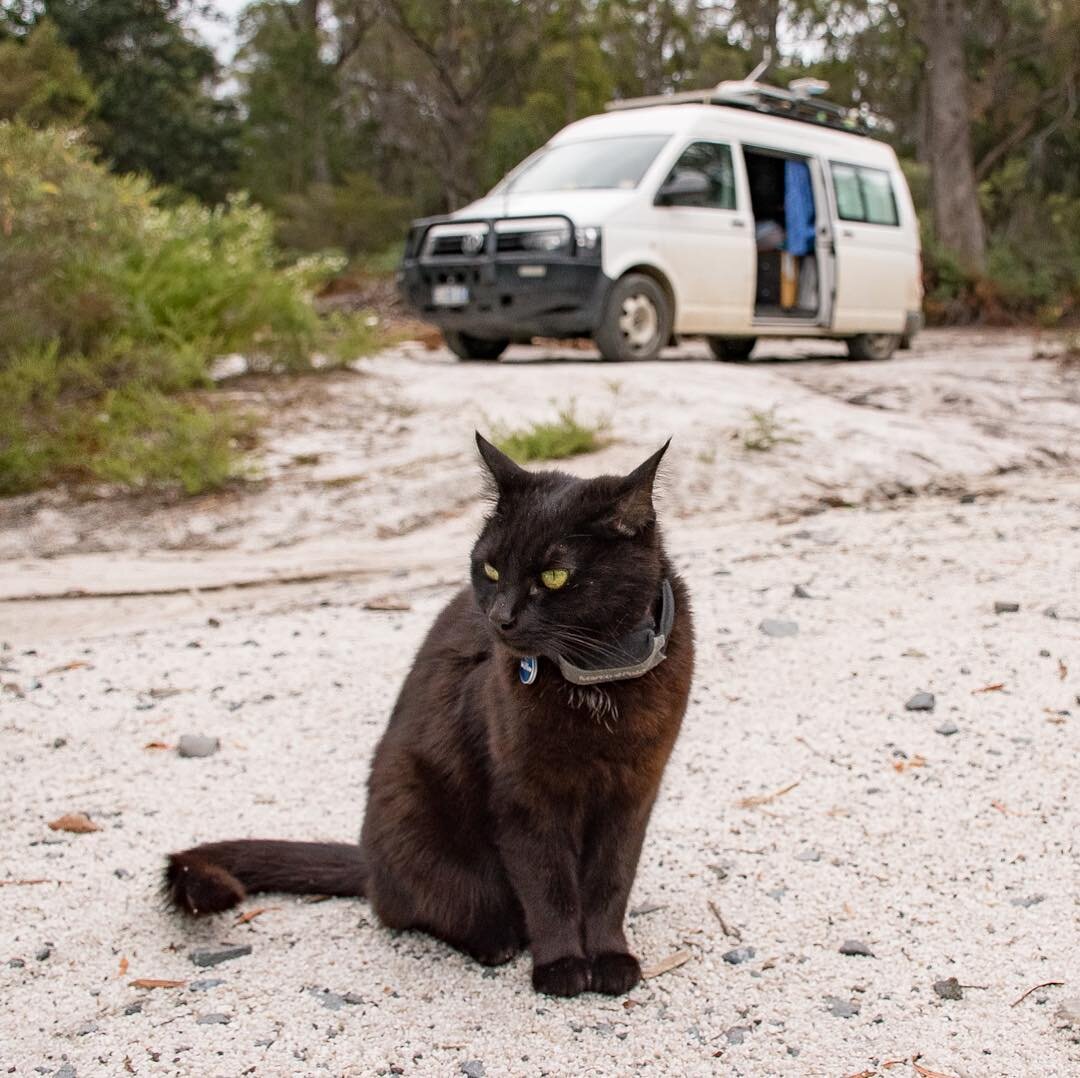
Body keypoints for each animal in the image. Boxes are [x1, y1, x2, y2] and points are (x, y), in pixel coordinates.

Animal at [167, 434, 691, 998]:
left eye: (554, 576)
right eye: (490, 570)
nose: (499, 619)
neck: (599, 680)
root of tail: (369, 863)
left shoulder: (633, 792)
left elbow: (610, 884)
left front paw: (612, 959)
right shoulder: (522, 798)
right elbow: (549, 888)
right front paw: (562, 967)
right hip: (418, 813)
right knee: (412, 909)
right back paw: (495, 941)